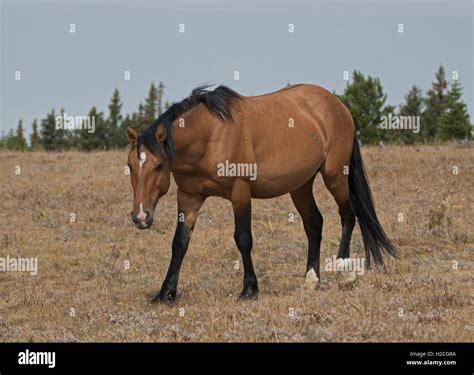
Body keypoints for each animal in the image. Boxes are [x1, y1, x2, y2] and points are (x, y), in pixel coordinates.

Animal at [123, 83, 396, 302]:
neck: (209, 135)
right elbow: (180, 242)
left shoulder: (240, 192)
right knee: (314, 224)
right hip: (300, 185)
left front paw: (249, 289)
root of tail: (338, 105)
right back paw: (311, 279)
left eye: (159, 165)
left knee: (348, 214)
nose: (141, 217)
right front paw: (166, 293)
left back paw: (344, 272)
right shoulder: (189, 197)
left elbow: (243, 239)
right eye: (130, 165)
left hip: (335, 175)